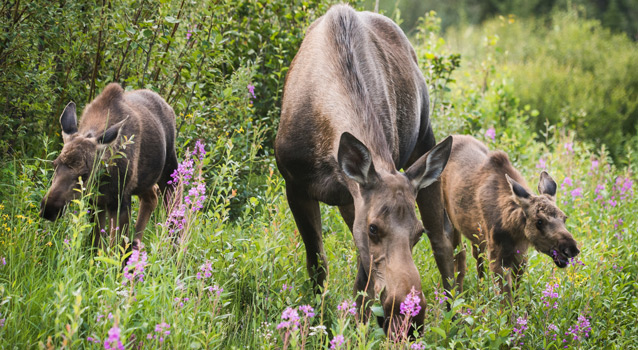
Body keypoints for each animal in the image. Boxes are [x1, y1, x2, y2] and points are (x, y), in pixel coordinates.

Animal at [40, 82, 178, 252]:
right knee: (152, 197)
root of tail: (169, 108)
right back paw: (137, 245)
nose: (48, 209)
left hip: (170, 169)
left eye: (84, 174)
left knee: (175, 205)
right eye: (54, 164)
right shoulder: (96, 201)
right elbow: (97, 244)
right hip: (144, 181)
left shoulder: (120, 201)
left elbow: (115, 248)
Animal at [276, 4, 456, 330]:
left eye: (417, 233)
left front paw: (356, 328)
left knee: (443, 237)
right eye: (374, 228)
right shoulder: (295, 185)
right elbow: (317, 264)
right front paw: (317, 321)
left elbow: (363, 284)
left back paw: (455, 314)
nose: (410, 315)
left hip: (425, 140)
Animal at [442, 135, 584, 300]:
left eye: (564, 218)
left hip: (477, 235)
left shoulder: (521, 256)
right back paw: (457, 295)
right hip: (449, 218)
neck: (514, 232)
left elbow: (516, 292)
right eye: (539, 221)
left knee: (477, 256)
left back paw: (480, 292)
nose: (571, 249)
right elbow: (506, 297)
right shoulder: (497, 258)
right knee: (459, 253)